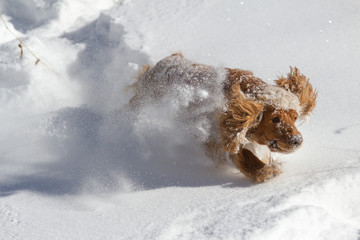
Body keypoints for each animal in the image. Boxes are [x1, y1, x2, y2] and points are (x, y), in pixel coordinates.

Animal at [128, 53, 316, 183]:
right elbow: (243, 157)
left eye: (294, 117)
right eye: (275, 118)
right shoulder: (219, 138)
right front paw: (264, 171)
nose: (297, 140)